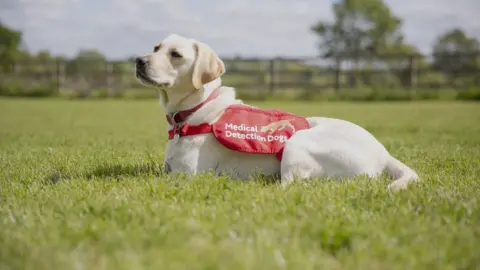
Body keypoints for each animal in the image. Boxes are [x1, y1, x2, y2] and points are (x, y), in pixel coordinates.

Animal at [135, 33, 420, 190]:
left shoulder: (186, 176)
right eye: (156, 48)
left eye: (176, 54)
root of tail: (384, 154)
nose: (139, 60)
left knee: (289, 186)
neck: (196, 109)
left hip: (297, 142)